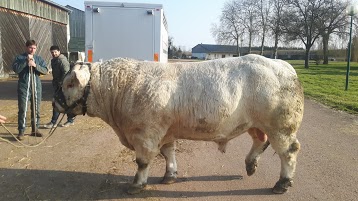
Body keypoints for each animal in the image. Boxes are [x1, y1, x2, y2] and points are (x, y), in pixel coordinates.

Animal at [56, 54, 304, 195]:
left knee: (289, 151)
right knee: (260, 141)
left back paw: (283, 183)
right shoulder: (165, 132)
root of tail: (282, 65)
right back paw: (251, 164)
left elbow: (142, 162)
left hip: (281, 125)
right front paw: (170, 175)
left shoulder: (145, 134)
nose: (57, 102)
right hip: (256, 123)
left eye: (69, 84)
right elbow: (168, 153)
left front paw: (137, 184)